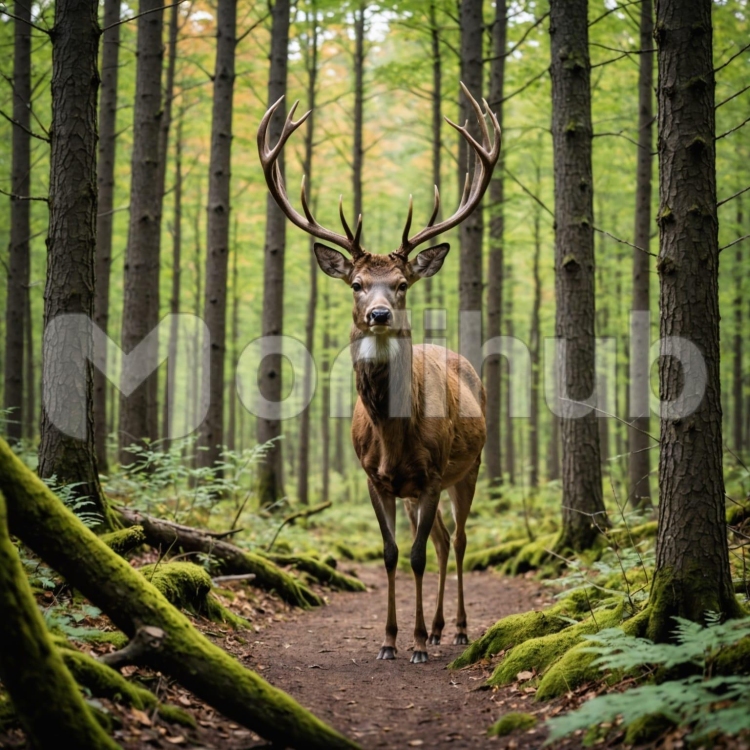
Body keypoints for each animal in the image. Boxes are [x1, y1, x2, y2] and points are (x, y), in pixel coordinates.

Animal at [257, 83, 500, 664]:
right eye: (357, 283)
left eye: (403, 283)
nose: (380, 314)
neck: (394, 437)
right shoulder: (374, 478)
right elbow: (391, 553)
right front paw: (391, 640)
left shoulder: (432, 474)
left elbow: (414, 556)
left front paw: (416, 643)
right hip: (418, 490)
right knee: (439, 539)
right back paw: (439, 626)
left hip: (470, 466)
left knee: (458, 541)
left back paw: (457, 629)